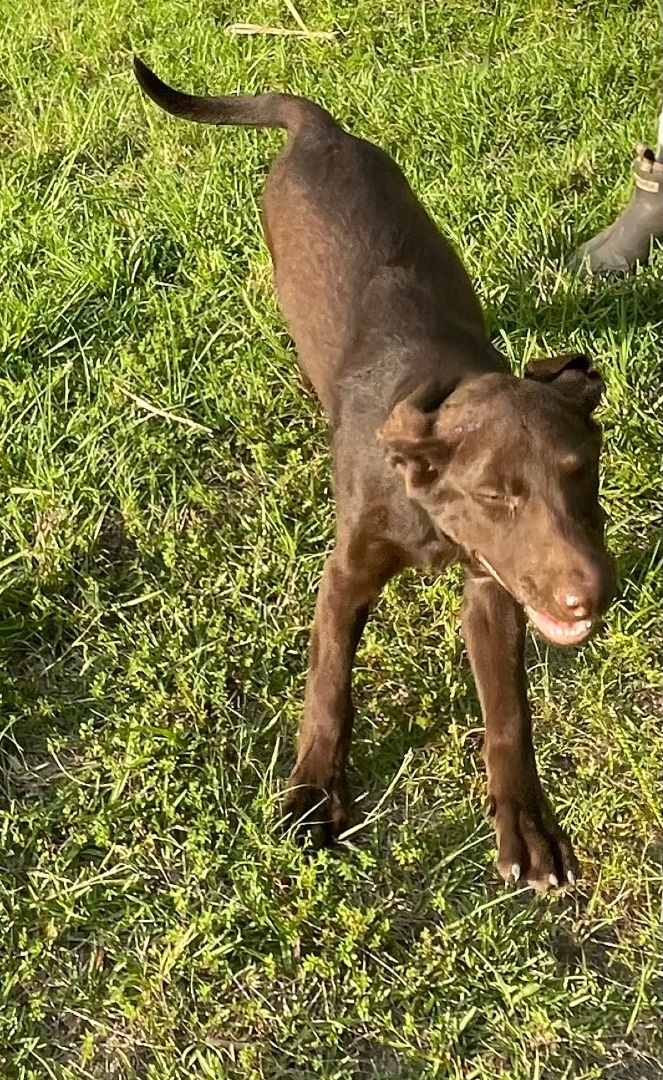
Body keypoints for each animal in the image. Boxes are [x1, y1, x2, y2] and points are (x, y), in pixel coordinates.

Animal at [134, 54, 617, 889]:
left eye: (580, 471)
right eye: (495, 494)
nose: (591, 594)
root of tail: (319, 130)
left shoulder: (492, 586)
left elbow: (508, 711)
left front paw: (525, 825)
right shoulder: (347, 571)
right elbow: (329, 681)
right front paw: (312, 793)